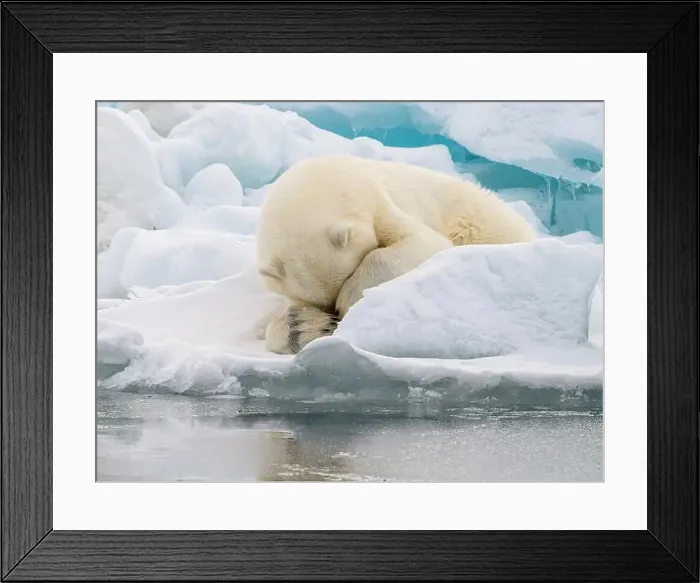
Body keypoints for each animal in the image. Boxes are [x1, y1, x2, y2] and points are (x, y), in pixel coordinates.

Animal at [256, 154, 536, 355]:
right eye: (318, 304)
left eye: (347, 277)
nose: (335, 319)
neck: (317, 180)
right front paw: (304, 325)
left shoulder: (376, 199)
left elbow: (424, 243)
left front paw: (350, 300)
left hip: (480, 221)